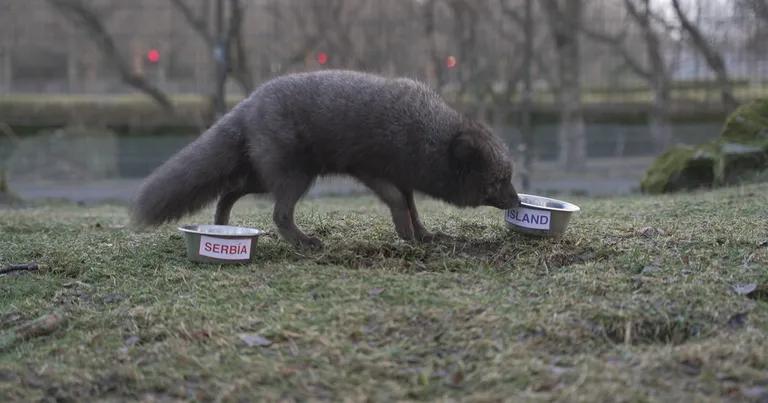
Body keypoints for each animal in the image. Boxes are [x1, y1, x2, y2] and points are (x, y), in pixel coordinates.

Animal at [132, 70, 520, 248]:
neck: (425, 133)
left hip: (264, 177)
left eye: (508, 178)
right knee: (279, 214)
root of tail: (247, 103)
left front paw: (423, 235)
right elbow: (398, 202)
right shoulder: (369, 170)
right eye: (498, 181)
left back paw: (224, 225)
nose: (517, 201)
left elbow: (412, 206)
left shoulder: (403, 176)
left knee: (229, 192)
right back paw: (304, 243)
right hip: (295, 177)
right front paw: (407, 236)